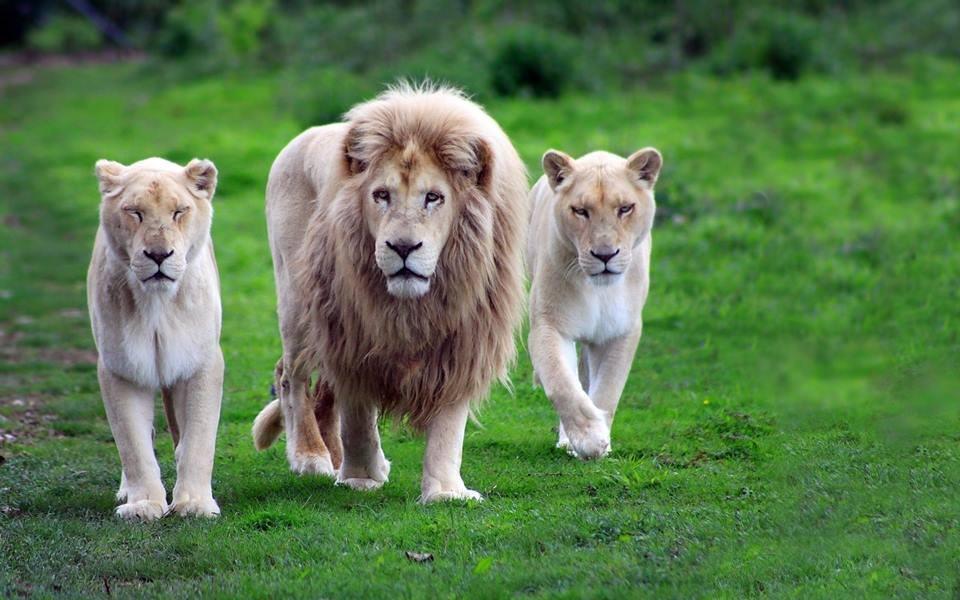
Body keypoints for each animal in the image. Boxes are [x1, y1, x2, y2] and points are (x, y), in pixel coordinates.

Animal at [87, 157, 223, 516]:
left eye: (179, 212)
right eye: (135, 212)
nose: (159, 255)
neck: (157, 304)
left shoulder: (201, 362)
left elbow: (199, 438)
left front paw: (194, 503)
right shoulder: (121, 368)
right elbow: (132, 443)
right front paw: (144, 504)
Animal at [251, 82, 524, 500]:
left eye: (433, 197)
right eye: (381, 195)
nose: (403, 247)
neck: (414, 306)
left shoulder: (464, 342)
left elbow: (448, 426)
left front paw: (445, 492)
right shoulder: (352, 336)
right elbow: (358, 417)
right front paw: (361, 478)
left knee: (323, 391)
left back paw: (334, 457)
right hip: (298, 302)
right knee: (290, 376)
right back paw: (311, 456)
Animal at [524, 149, 660, 460]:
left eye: (625, 208)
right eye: (580, 211)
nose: (605, 255)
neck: (599, 290)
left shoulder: (621, 331)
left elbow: (608, 389)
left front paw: (601, 441)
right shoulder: (549, 325)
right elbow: (561, 383)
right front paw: (589, 439)